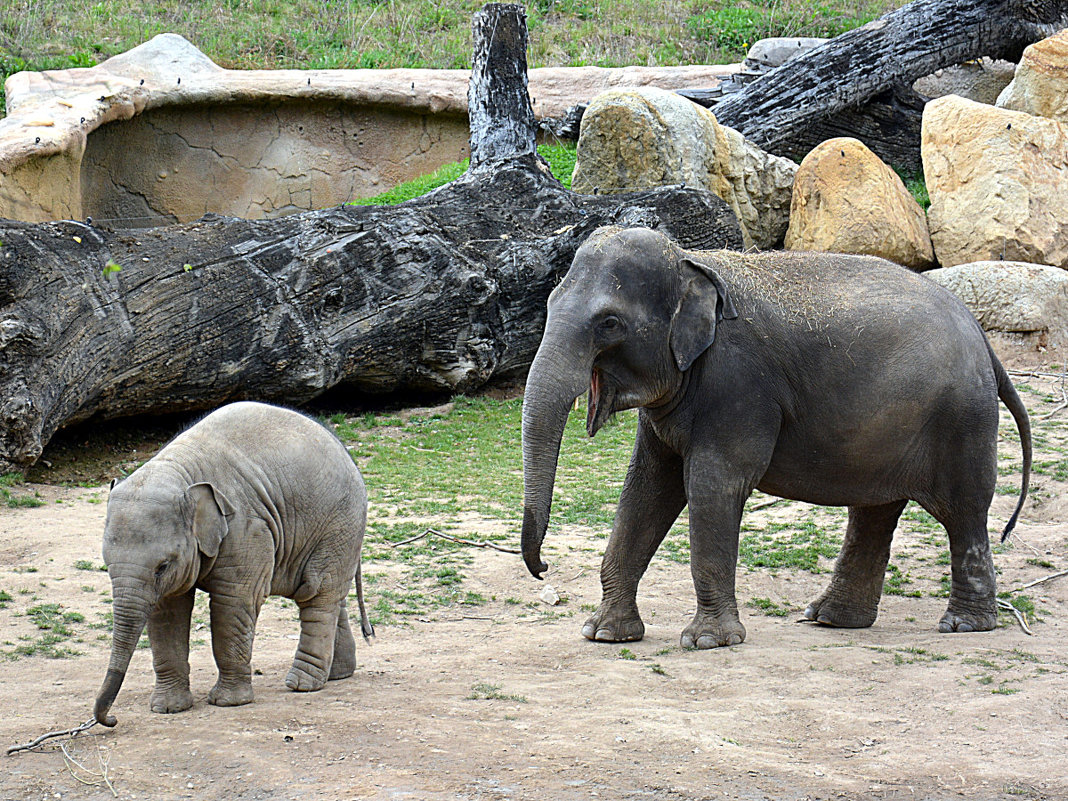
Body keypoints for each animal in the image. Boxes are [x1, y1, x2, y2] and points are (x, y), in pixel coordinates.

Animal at [96, 401, 371, 726]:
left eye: (162, 566)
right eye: (106, 564)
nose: (112, 719)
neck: (179, 470)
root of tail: (346, 453)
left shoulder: (247, 528)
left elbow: (233, 603)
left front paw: (228, 703)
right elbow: (167, 612)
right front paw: (168, 709)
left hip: (339, 523)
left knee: (317, 594)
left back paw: (302, 685)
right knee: (332, 596)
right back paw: (338, 674)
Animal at [521, 223, 1029, 649]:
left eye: (609, 323)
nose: (542, 570)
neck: (691, 260)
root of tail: (982, 337)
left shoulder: (740, 384)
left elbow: (713, 485)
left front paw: (708, 642)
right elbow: (646, 489)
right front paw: (605, 634)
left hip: (961, 417)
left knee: (963, 510)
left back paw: (963, 625)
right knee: (875, 511)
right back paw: (832, 619)